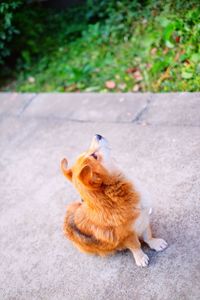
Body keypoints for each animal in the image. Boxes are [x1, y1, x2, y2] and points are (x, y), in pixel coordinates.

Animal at [61, 135, 167, 266]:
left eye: (90, 154)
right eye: (94, 155)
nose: (97, 135)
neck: (113, 195)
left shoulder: (143, 220)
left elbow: (148, 235)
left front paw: (155, 243)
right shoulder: (127, 236)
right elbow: (136, 246)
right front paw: (140, 258)